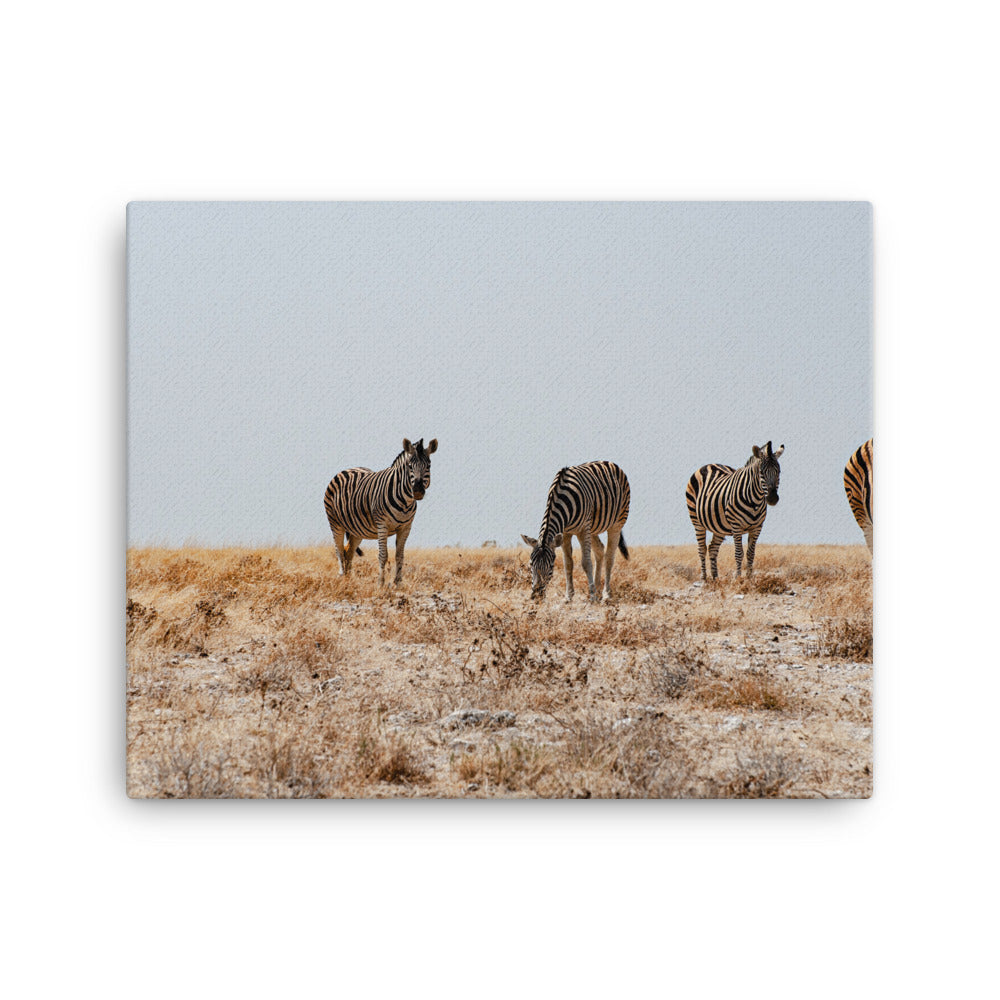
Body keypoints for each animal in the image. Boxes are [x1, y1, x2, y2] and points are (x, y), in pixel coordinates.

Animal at [323, 437, 438, 586]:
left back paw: (349, 580)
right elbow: (383, 555)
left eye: (428, 466)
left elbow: (400, 556)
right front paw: (381, 583)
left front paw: (398, 583)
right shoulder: (382, 525)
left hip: (357, 529)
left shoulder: (406, 527)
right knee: (339, 551)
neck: (405, 502)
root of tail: (346, 470)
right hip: (335, 523)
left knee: (348, 552)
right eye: (410, 466)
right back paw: (342, 578)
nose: (417, 491)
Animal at [521, 461, 630, 603]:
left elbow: (586, 563)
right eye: (530, 564)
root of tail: (609, 463)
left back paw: (606, 595)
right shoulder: (565, 533)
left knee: (609, 557)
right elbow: (568, 564)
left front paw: (592, 597)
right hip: (592, 529)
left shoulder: (582, 529)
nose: (536, 597)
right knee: (600, 550)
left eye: (551, 566)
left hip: (617, 522)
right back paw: (597, 590)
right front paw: (569, 597)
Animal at [685, 441, 785, 580]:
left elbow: (750, 553)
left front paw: (749, 578)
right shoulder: (736, 526)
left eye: (779, 472)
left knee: (712, 548)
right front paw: (738, 578)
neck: (755, 501)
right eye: (761, 472)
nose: (772, 499)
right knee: (702, 549)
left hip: (719, 526)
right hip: (696, 521)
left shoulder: (757, 527)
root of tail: (709, 465)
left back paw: (715, 579)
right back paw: (704, 578)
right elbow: (739, 553)